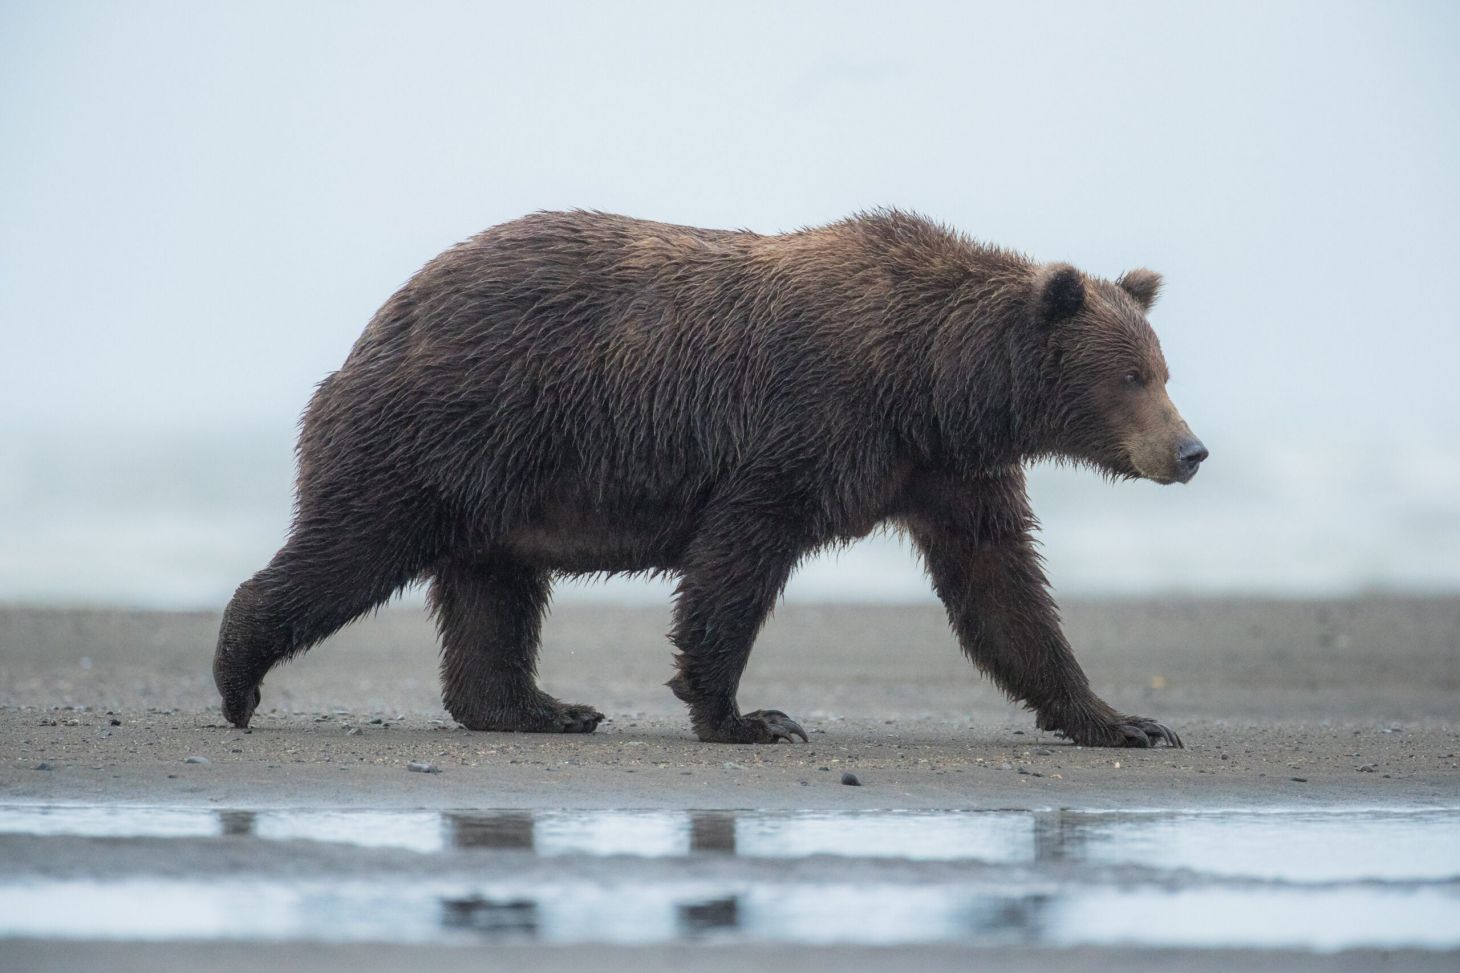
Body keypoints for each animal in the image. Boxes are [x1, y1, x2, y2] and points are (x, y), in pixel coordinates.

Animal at [214, 209, 1206, 748]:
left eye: (1162, 368)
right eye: (1133, 375)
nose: (1191, 450)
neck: (930, 382)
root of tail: (383, 318)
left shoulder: (946, 471)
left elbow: (1004, 592)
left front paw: (1122, 718)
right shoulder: (806, 426)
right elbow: (736, 563)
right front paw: (748, 714)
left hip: (502, 482)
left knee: (495, 593)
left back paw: (539, 706)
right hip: (443, 432)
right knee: (351, 549)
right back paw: (236, 677)